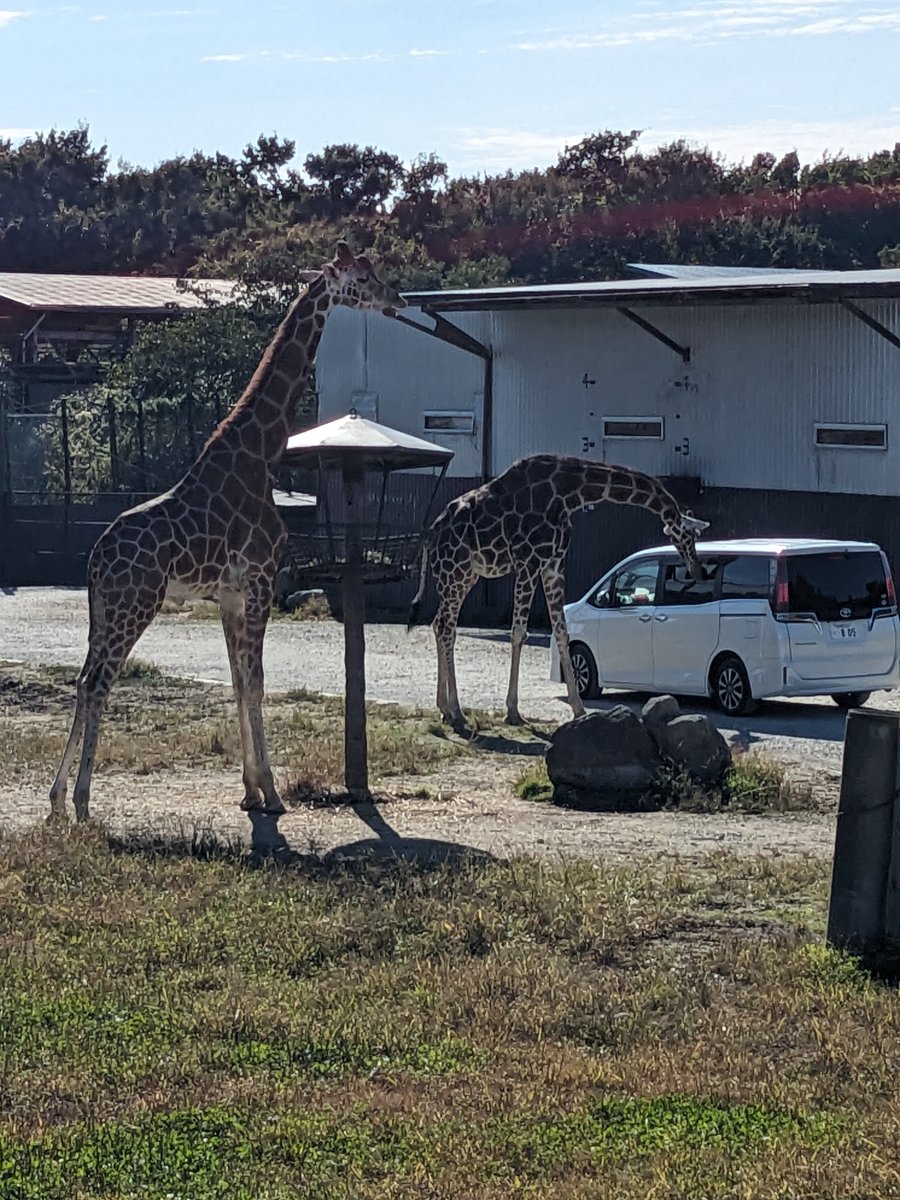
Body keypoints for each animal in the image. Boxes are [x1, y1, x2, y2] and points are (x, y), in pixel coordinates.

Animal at [49, 243, 405, 823]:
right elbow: (257, 684)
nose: (397, 298)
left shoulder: (230, 595)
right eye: (363, 278)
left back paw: (56, 799)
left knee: (82, 681)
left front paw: (251, 791)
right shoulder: (260, 580)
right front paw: (274, 794)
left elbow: (239, 684)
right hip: (135, 605)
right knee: (100, 682)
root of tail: (95, 559)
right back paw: (82, 801)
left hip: (102, 611)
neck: (262, 456)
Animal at [408, 454, 709, 730]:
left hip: (465, 576)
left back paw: (444, 708)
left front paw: (579, 709)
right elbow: (518, 633)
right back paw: (457, 712)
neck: (569, 495)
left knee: (439, 624)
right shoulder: (528, 562)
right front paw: (513, 711)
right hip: (453, 571)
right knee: (447, 628)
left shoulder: (554, 564)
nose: (698, 571)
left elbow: (563, 633)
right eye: (689, 536)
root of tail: (432, 532)